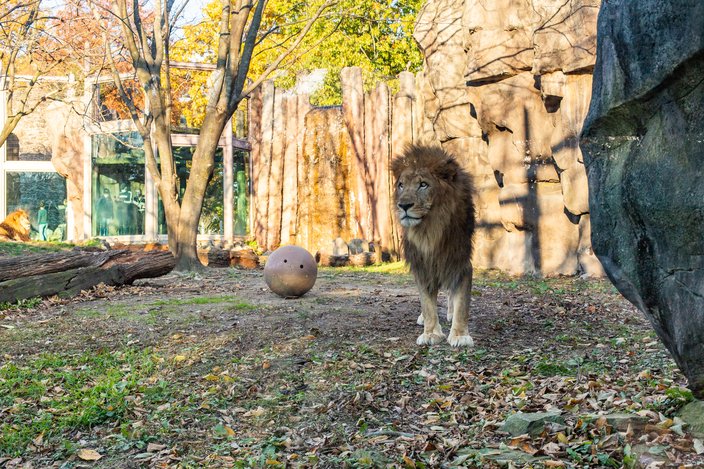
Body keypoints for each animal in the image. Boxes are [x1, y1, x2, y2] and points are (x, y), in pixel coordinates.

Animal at [390, 144, 478, 346]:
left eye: (423, 184)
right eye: (401, 185)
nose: (403, 205)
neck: (429, 230)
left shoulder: (459, 261)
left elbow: (462, 302)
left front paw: (460, 335)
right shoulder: (421, 264)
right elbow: (427, 302)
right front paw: (430, 333)